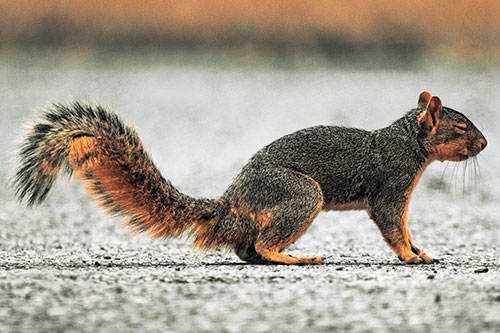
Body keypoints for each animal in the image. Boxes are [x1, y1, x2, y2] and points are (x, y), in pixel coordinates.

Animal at [13, 91, 486, 264]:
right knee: (261, 244)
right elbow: (392, 225)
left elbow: (403, 226)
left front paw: (421, 250)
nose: (483, 144)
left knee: (246, 250)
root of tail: (231, 205)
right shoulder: (391, 183)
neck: (408, 144)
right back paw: (295, 258)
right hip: (300, 194)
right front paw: (411, 256)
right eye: (459, 127)